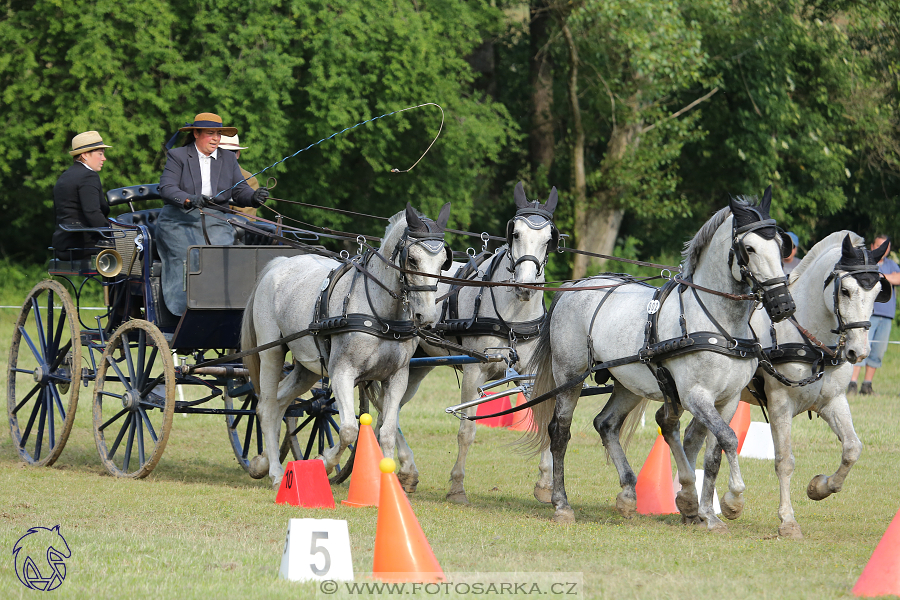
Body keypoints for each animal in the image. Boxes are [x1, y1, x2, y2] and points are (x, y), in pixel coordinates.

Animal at [241, 204, 450, 490]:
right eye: (413, 260)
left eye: (443, 262)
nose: (426, 316)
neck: (383, 315)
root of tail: (279, 263)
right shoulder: (342, 372)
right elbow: (349, 429)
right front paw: (324, 461)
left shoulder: (397, 377)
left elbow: (386, 431)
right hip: (271, 352)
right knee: (266, 406)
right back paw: (274, 471)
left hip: (307, 368)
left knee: (281, 401)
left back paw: (262, 462)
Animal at [528, 191, 796, 524]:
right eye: (749, 248)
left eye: (780, 246)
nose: (783, 304)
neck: (718, 323)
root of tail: (574, 285)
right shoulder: (696, 396)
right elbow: (729, 438)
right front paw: (733, 500)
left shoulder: (729, 399)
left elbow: (715, 451)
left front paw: (708, 513)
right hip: (569, 376)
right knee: (560, 432)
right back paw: (561, 503)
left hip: (628, 382)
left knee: (606, 424)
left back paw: (628, 494)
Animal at [684, 232, 888, 536]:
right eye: (845, 291)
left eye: (877, 292)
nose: (858, 352)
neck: (809, 337)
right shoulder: (780, 402)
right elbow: (784, 461)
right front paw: (788, 521)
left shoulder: (833, 400)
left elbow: (852, 448)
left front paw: (820, 487)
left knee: (690, 438)